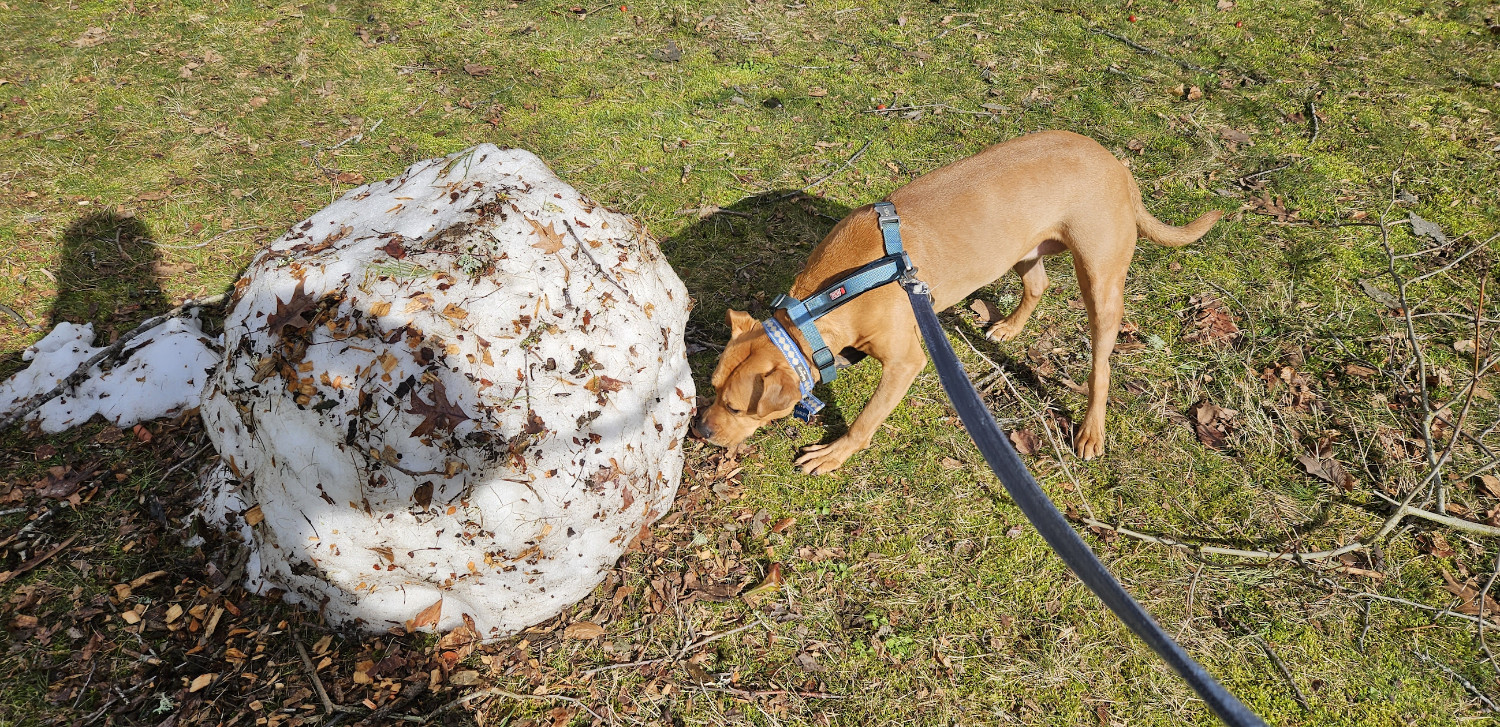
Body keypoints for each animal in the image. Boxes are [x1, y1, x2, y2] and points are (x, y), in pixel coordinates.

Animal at [690, 130, 1218, 473]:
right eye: (710, 389)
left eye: (736, 408)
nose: (699, 431)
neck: (821, 304)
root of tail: (1117, 166)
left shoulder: (906, 363)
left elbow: (867, 418)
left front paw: (836, 452)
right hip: (1020, 250)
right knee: (1038, 284)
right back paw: (1009, 326)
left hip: (1100, 279)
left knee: (1101, 363)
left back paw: (1091, 428)